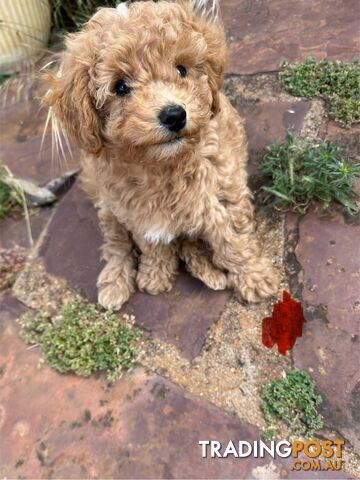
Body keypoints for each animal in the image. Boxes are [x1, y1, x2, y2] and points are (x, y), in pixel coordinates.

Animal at [45, 0, 280, 312]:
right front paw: (155, 274)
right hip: (108, 210)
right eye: (121, 87)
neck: (161, 166)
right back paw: (114, 284)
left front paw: (254, 278)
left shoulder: (219, 196)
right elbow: (153, 245)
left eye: (181, 69)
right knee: (117, 247)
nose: (174, 115)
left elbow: (232, 241)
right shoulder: (138, 213)